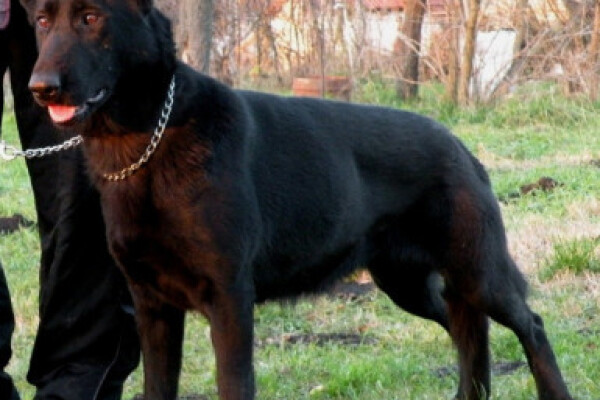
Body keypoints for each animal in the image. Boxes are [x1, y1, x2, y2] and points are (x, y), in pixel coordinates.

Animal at [20, 1, 574, 399]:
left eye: (91, 18)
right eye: (43, 21)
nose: (39, 88)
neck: (147, 141)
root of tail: (459, 145)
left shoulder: (229, 302)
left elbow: (234, 386)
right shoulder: (152, 308)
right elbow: (158, 389)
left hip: (479, 273)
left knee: (528, 324)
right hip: (409, 284)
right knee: (466, 329)